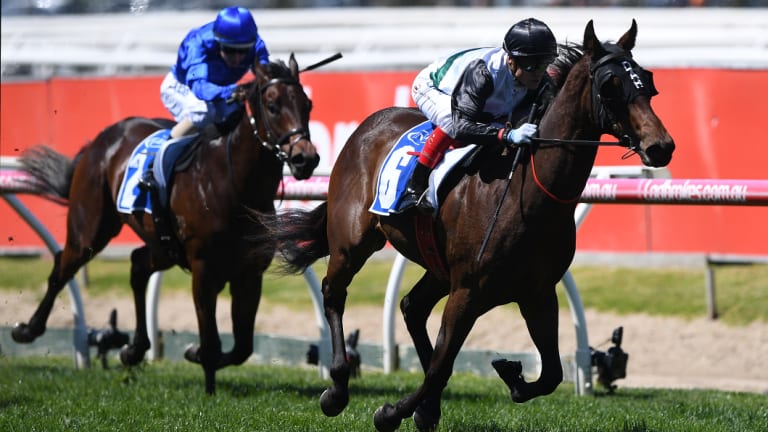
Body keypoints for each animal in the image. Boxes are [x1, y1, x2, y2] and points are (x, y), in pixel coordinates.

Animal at [12, 54, 318, 394]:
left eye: (307, 104)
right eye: (273, 105)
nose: (306, 159)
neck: (233, 183)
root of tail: (103, 138)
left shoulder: (250, 272)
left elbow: (242, 348)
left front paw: (193, 353)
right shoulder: (203, 268)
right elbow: (212, 341)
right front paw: (208, 385)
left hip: (163, 244)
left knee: (137, 265)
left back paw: (133, 349)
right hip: (90, 228)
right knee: (63, 267)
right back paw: (27, 329)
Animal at [262, 21, 672, 432]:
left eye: (648, 82)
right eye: (610, 85)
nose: (661, 146)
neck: (527, 193)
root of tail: (367, 126)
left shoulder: (536, 292)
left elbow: (551, 374)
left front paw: (509, 376)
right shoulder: (468, 291)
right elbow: (440, 367)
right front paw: (391, 412)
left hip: (438, 266)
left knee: (412, 306)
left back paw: (426, 407)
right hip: (353, 241)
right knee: (334, 293)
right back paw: (337, 389)